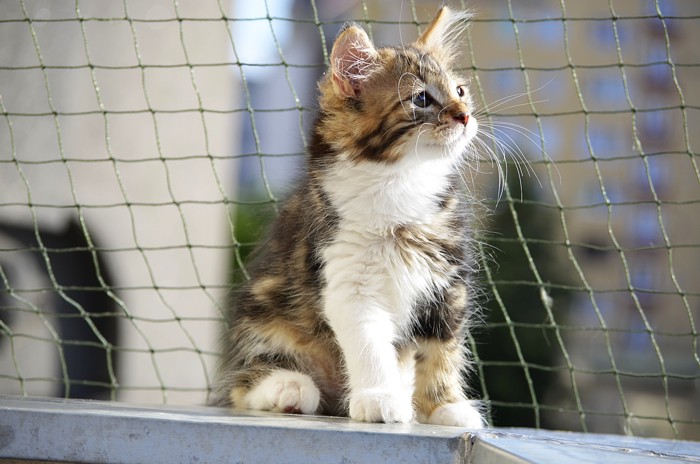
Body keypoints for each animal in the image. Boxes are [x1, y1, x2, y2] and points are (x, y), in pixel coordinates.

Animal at [211, 7, 485, 428]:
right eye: (422, 98)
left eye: (459, 91)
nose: (466, 116)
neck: (400, 180)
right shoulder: (346, 279)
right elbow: (370, 345)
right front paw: (380, 397)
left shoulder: (447, 284)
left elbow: (441, 351)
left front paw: (445, 405)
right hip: (263, 320)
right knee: (244, 383)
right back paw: (289, 387)